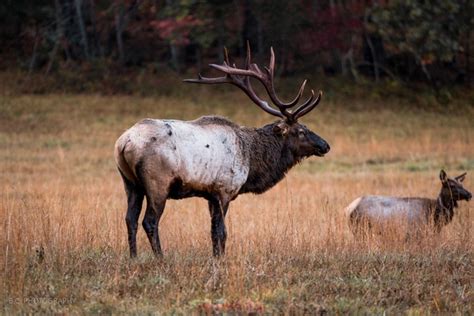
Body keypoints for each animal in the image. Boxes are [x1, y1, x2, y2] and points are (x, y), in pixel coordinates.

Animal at [115, 47, 330, 260]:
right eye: (301, 131)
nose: (325, 145)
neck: (251, 160)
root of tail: (124, 142)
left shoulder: (210, 195)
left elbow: (212, 232)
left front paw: (215, 257)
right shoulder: (225, 189)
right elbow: (222, 232)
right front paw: (221, 259)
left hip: (130, 182)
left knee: (130, 219)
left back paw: (133, 257)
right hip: (157, 182)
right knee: (149, 221)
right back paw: (161, 258)